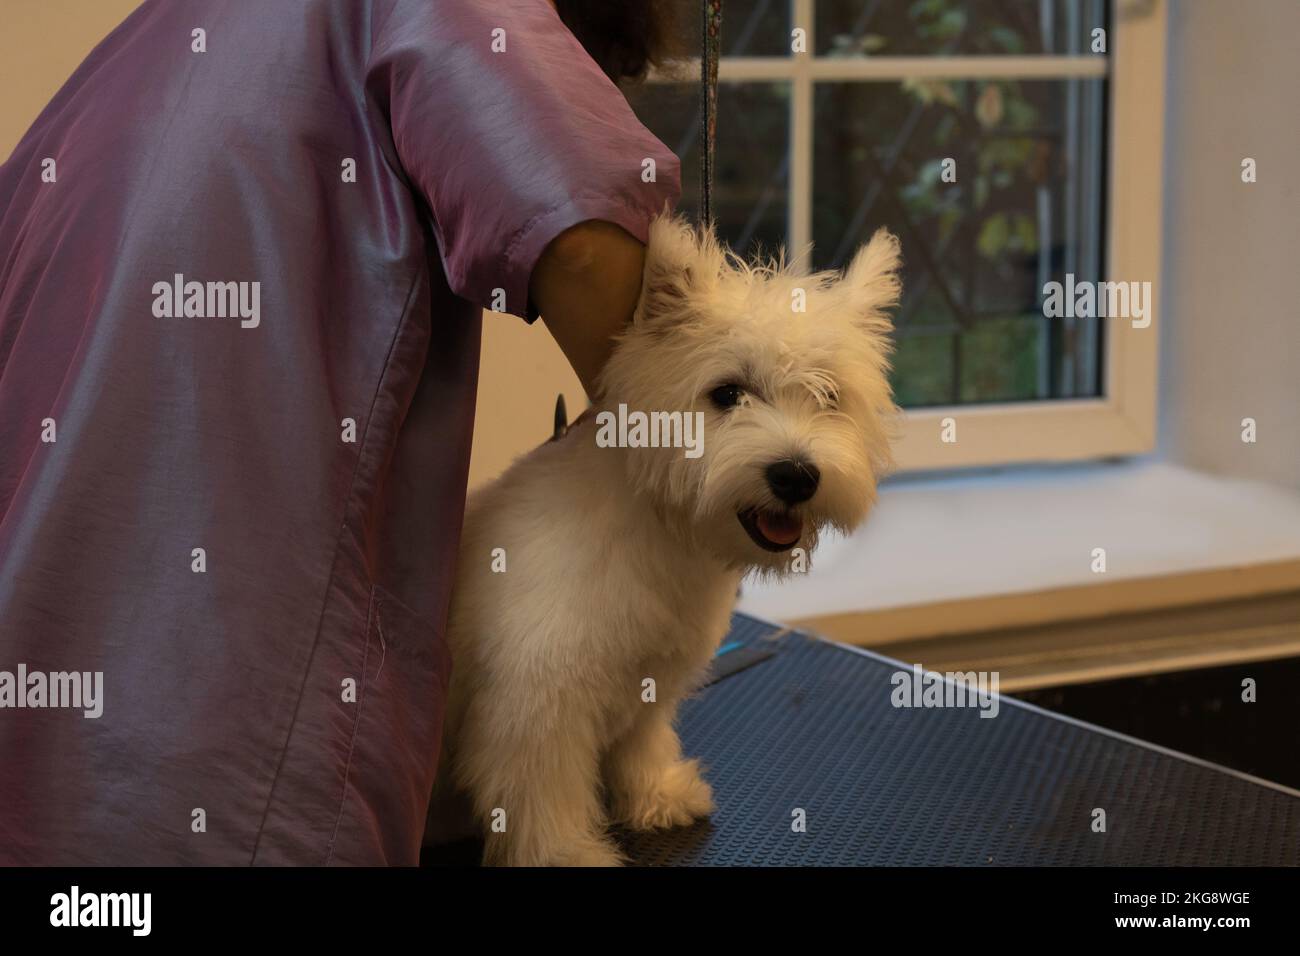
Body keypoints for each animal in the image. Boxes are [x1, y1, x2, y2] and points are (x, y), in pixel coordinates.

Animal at [431, 214, 899, 868]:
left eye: (829, 395)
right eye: (727, 393)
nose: (796, 475)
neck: (661, 531)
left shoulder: (651, 681)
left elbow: (642, 745)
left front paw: (656, 798)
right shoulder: (536, 704)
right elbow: (542, 793)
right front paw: (565, 853)